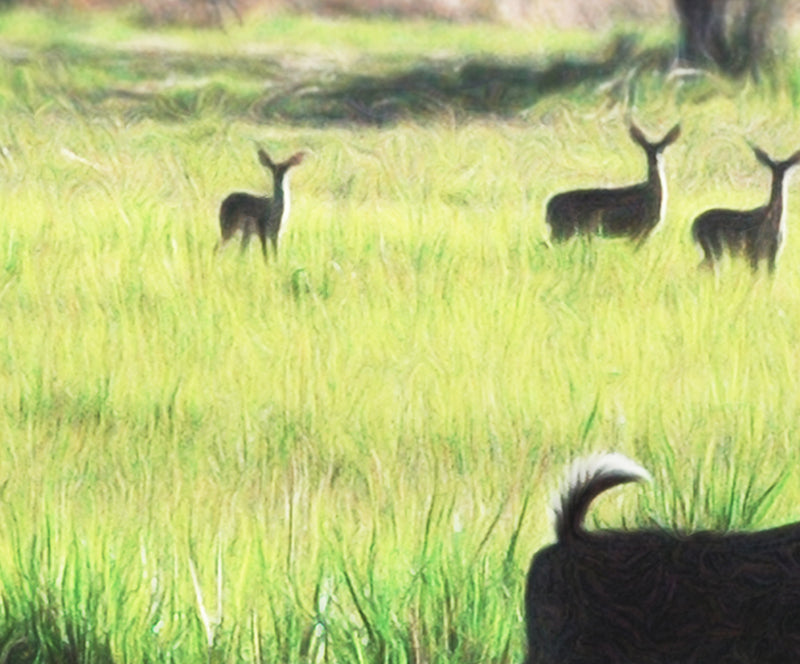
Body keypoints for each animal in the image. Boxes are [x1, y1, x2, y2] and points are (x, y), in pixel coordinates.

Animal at [545, 123, 681, 246]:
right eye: (646, 150)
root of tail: (548, 207)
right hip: (563, 229)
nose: (655, 162)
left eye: (662, 149)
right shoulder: (639, 230)